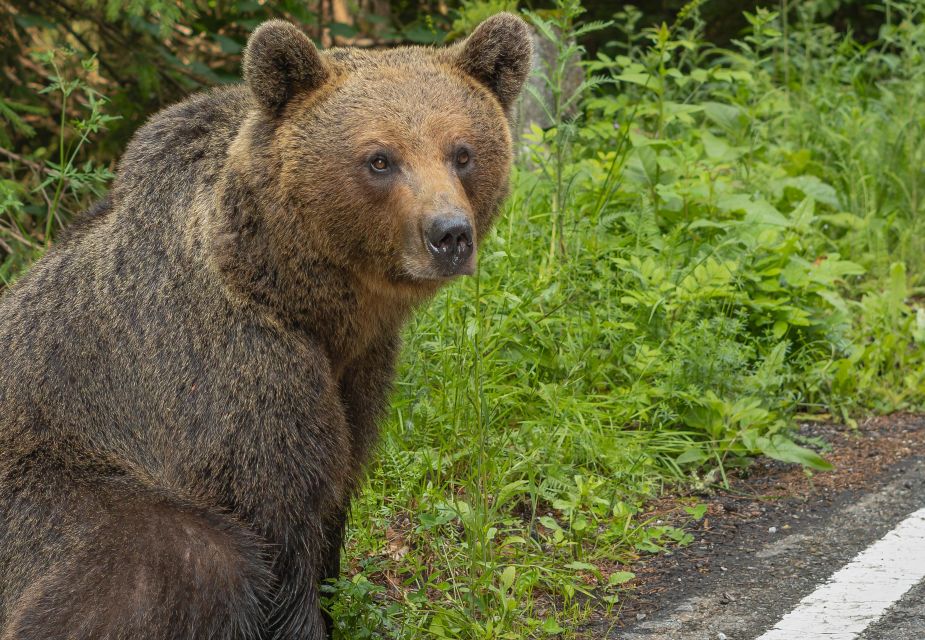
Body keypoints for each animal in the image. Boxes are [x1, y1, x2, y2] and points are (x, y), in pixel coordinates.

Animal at [0, 15, 532, 640]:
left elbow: (337, 490)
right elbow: (280, 516)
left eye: (463, 152)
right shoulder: (236, 374)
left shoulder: (360, 371)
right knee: (183, 557)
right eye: (380, 158)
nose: (449, 234)